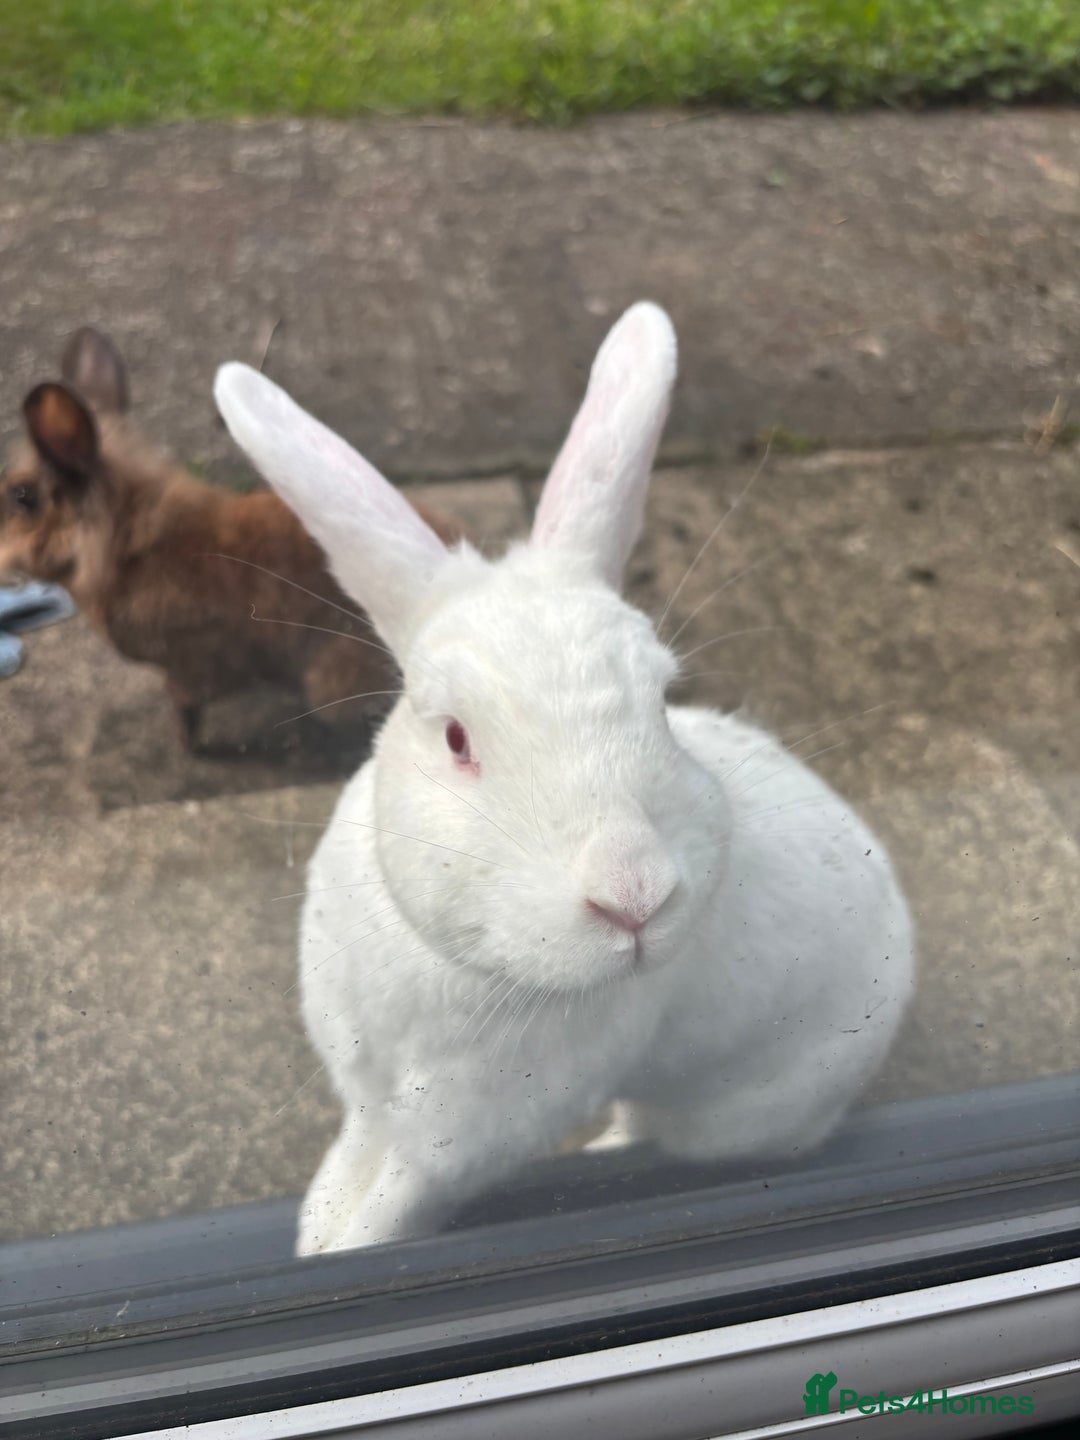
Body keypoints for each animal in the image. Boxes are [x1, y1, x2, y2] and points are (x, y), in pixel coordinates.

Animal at [214, 301, 915, 1255]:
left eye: (662, 701)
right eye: (458, 737)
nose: (635, 896)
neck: (460, 962)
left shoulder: (459, 1136)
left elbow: (396, 1199)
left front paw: (346, 1246)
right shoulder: (370, 1095)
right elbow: (351, 1163)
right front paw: (314, 1237)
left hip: (742, 1110)